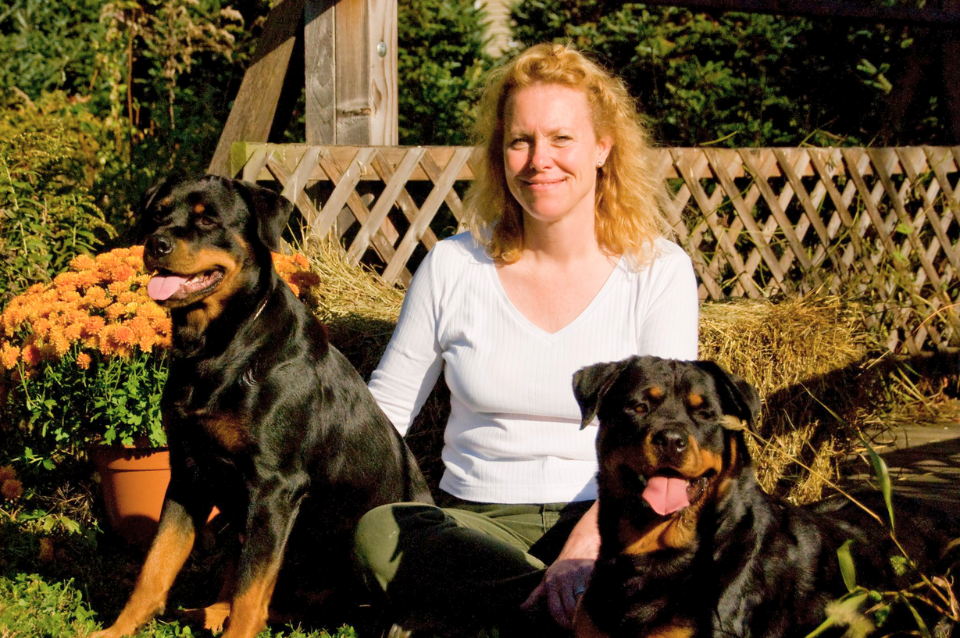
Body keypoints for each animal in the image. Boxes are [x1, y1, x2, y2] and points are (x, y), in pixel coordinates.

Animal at [92, 175, 433, 638]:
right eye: (158, 213)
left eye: (208, 219)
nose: (155, 244)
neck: (217, 350)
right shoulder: (187, 472)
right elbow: (157, 564)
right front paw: (118, 629)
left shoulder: (275, 486)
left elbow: (251, 594)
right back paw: (208, 612)